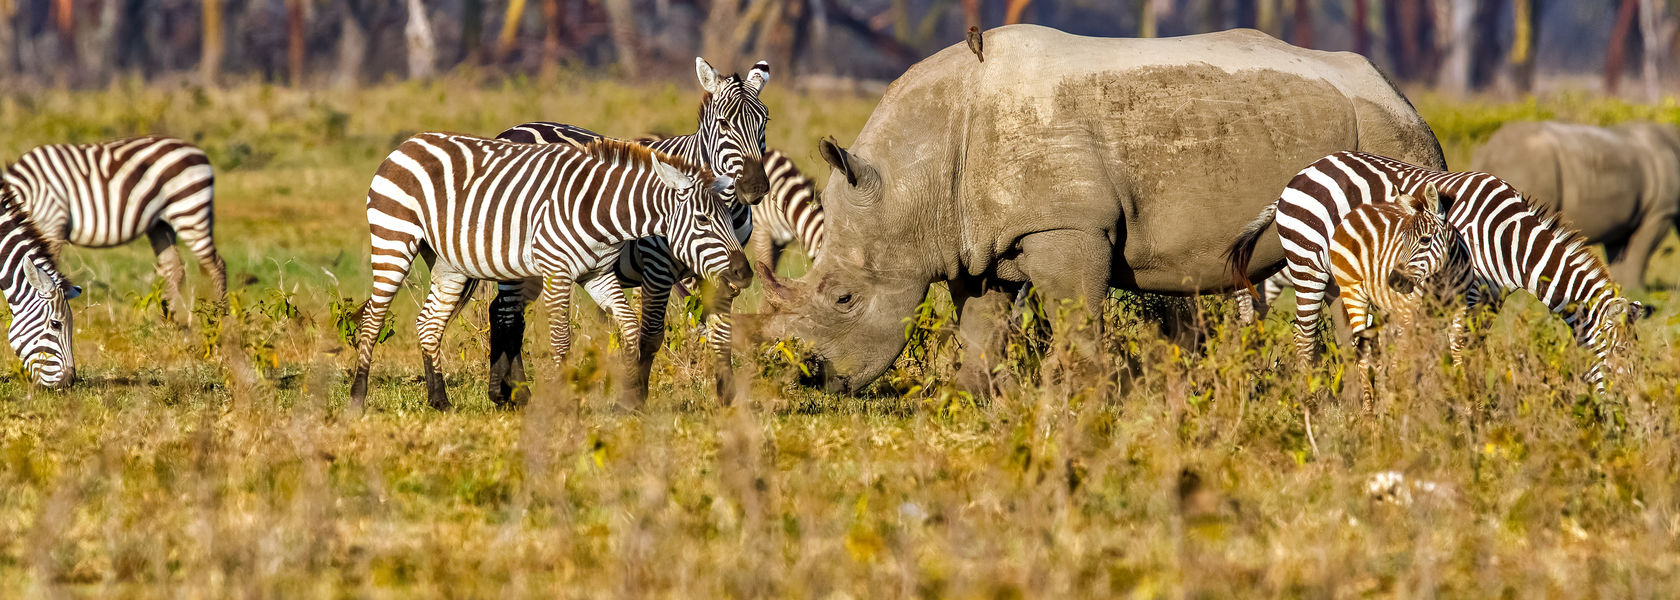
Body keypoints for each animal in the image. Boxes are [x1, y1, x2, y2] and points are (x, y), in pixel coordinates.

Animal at [1, 135, 225, 312]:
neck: (26, 192)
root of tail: (198, 151)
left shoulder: (52, 223)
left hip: (190, 210)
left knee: (216, 264)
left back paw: (218, 315)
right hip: (161, 224)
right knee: (175, 269)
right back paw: (171, 321)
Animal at [351, 132, 752, 408]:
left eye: (728, 217)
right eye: (703, 220)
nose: (743, 275)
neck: (603, 212)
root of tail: (409, 143)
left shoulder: (598, 275)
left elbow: (628, 327)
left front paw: (627, 398)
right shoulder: (558, 272)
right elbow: (561, 340)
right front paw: (565, 401)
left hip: (449, 263)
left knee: (429, 322)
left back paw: (440, 401)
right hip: (393, 239)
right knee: (374, 317)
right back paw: (358, 398)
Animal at [487, 56, 772, 405]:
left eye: (764, 123)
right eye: (724, 124)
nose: (754, 187)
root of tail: (513, 129)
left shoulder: (719, 270)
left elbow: (721, 333)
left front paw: (727, 398)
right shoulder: (657, 268)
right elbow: (650, 336)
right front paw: (634, 397)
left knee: (504, 311)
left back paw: (509, 392)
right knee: (506, 314)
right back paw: (514, 393)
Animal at [1330, 184, 1464, 405]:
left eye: (1425, 240)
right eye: (1402, 240)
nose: (1393, 281)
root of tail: (1357, 210)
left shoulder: (1459, 313)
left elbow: (1455, 356)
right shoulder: (1411, 316)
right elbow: (1410, 359)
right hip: (1353, 291)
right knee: (1364, 354)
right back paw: (1370, 409)